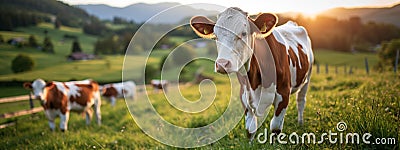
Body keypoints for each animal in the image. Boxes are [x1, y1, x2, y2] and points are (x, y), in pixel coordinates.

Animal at [189, 7, 314, 139]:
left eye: (243, 33)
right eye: (216, 36)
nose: (222, 64)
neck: (254, 81)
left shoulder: (284, 93)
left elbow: (275, 127)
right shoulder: (245, 95)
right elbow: (250, 129)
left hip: (307, 78)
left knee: (301, 100)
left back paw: (300, 123)